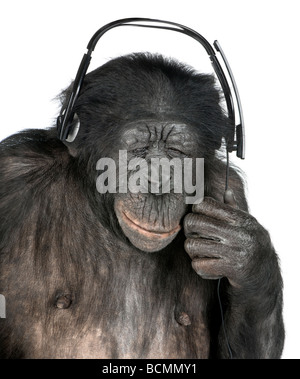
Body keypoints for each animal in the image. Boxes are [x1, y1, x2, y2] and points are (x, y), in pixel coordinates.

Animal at [0, 52, 284, 360]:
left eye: (176, 152)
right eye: (137, 150)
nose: (159, 181)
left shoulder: (228, 189)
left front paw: (246, 256)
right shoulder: (11, 174)